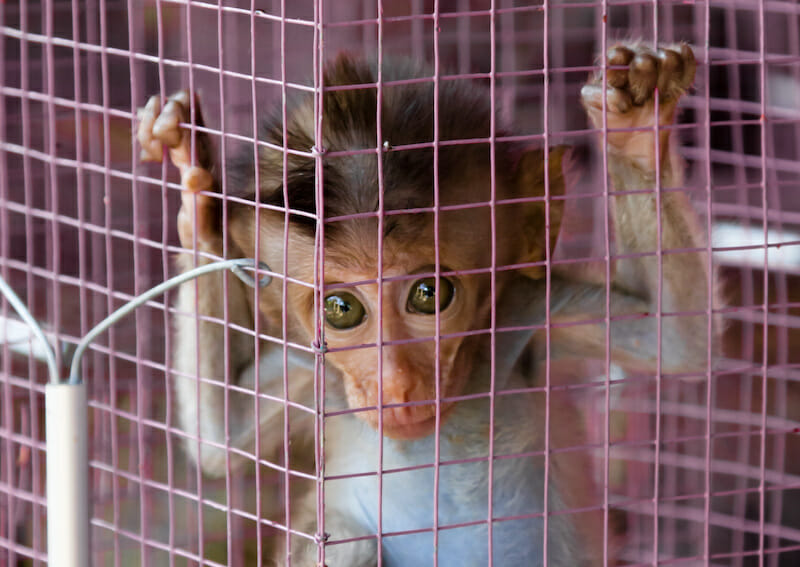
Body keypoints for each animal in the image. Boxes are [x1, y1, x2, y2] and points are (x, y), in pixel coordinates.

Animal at [137, 42, 716, 565]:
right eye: (341, 309)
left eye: (428, 295)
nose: (395, 384)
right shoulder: (312, 371)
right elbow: (219, 442)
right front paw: (197, 198)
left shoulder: (532, 310)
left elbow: (675, 340)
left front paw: (636, 129)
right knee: (350, 543)